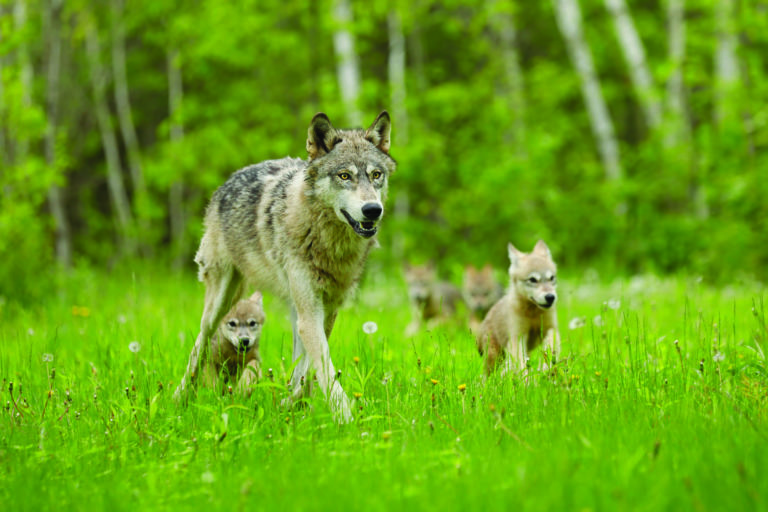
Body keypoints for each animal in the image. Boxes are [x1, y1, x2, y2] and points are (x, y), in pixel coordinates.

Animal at [173, 111, 395, 422]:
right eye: (344, 176)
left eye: (376, 175)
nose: (373, 210)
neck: (327, 241)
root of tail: (228, 180)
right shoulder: (310, 313)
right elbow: (324, 370)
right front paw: (346, 420)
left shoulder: (326, 312)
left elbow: (308, 372)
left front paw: (292, 406)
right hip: (220, 302)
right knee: (199, 344)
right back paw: (180, 397)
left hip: (292, 308)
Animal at [476, 240, 560, 376]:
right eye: (532, 279)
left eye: (551, 278)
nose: (550, 297)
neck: (533, 313)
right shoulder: (517, 336)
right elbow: (520, 365)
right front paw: (526, 380)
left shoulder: (551, 329)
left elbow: (550, 349)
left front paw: (545, 368)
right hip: (494, 356)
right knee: (487, 375)